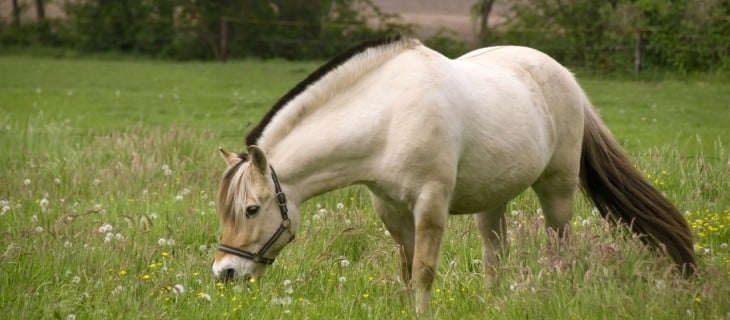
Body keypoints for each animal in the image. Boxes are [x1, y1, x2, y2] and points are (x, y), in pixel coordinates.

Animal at [210, 35, 692, 312]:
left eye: (251, 209)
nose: (224, 273)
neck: (388, 116)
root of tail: (566, 77)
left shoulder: (430, 203)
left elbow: (424, 271)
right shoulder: (390, 207)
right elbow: (407, 270)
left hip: (557, 189)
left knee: (561, 247)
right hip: (493, 199)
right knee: (496, 254)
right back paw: (492, 304)